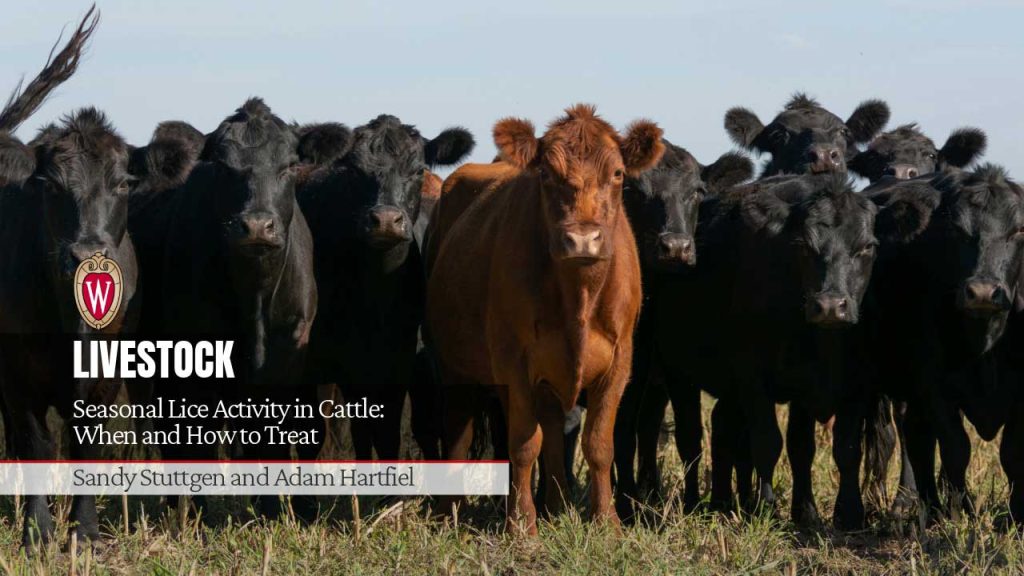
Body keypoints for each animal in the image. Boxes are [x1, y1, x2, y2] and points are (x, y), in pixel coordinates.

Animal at [426, 104, 664, 534]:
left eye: (618, 173)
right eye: (546, 174)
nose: (582, 239)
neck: (578, 298)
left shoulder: (620, 361)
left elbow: (598, 444)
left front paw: (606, 524)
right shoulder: (513, 362)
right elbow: (523, 444)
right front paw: (522, 527)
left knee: (553, 431)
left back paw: (556, 506)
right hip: (456, 367)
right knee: (458, 433)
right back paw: (448, 512)